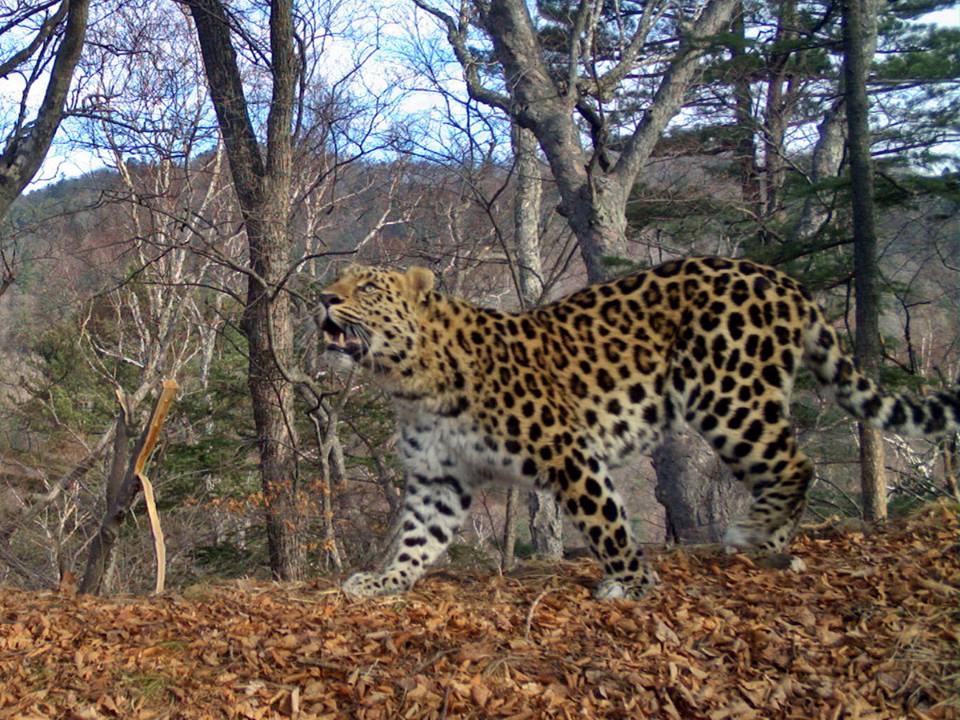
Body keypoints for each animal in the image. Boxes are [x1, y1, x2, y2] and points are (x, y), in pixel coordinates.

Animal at [316, 256, 960, 600]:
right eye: (342, 281)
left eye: (366, 287)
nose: (321, 297)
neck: (408, 382)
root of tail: (779, 278)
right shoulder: (438, 478)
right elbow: (417, 537)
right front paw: (383, 583)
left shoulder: (568, 452)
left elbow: (606, 522)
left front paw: (632, 585)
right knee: (784, 467)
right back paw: (772, 544)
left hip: (728, 395)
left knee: (796, 463)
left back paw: (753, 533)